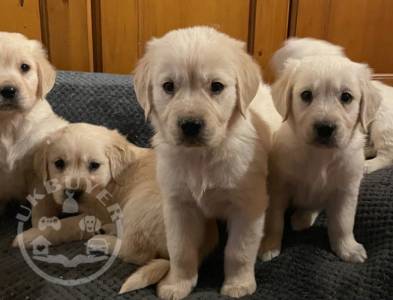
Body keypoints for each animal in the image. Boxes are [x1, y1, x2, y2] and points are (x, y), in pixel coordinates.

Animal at [133, 27, 274, 298]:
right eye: (168, 86)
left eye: (216, 86)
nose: (190, 125)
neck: (201, 156)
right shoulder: (178, 205)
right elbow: (180, 250)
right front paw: (178, 284)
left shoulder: (248, 206)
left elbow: (239, 251)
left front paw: (238, 284)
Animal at [258, 52, 382, 264]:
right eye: (306, 95)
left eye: (346, 97)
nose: (325, 128)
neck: (320, 156)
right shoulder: (279, 186)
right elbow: (275, 220)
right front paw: (269, 245)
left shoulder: (346, 190)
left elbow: (343, 223)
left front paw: (347, 248)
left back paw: (303, 217)